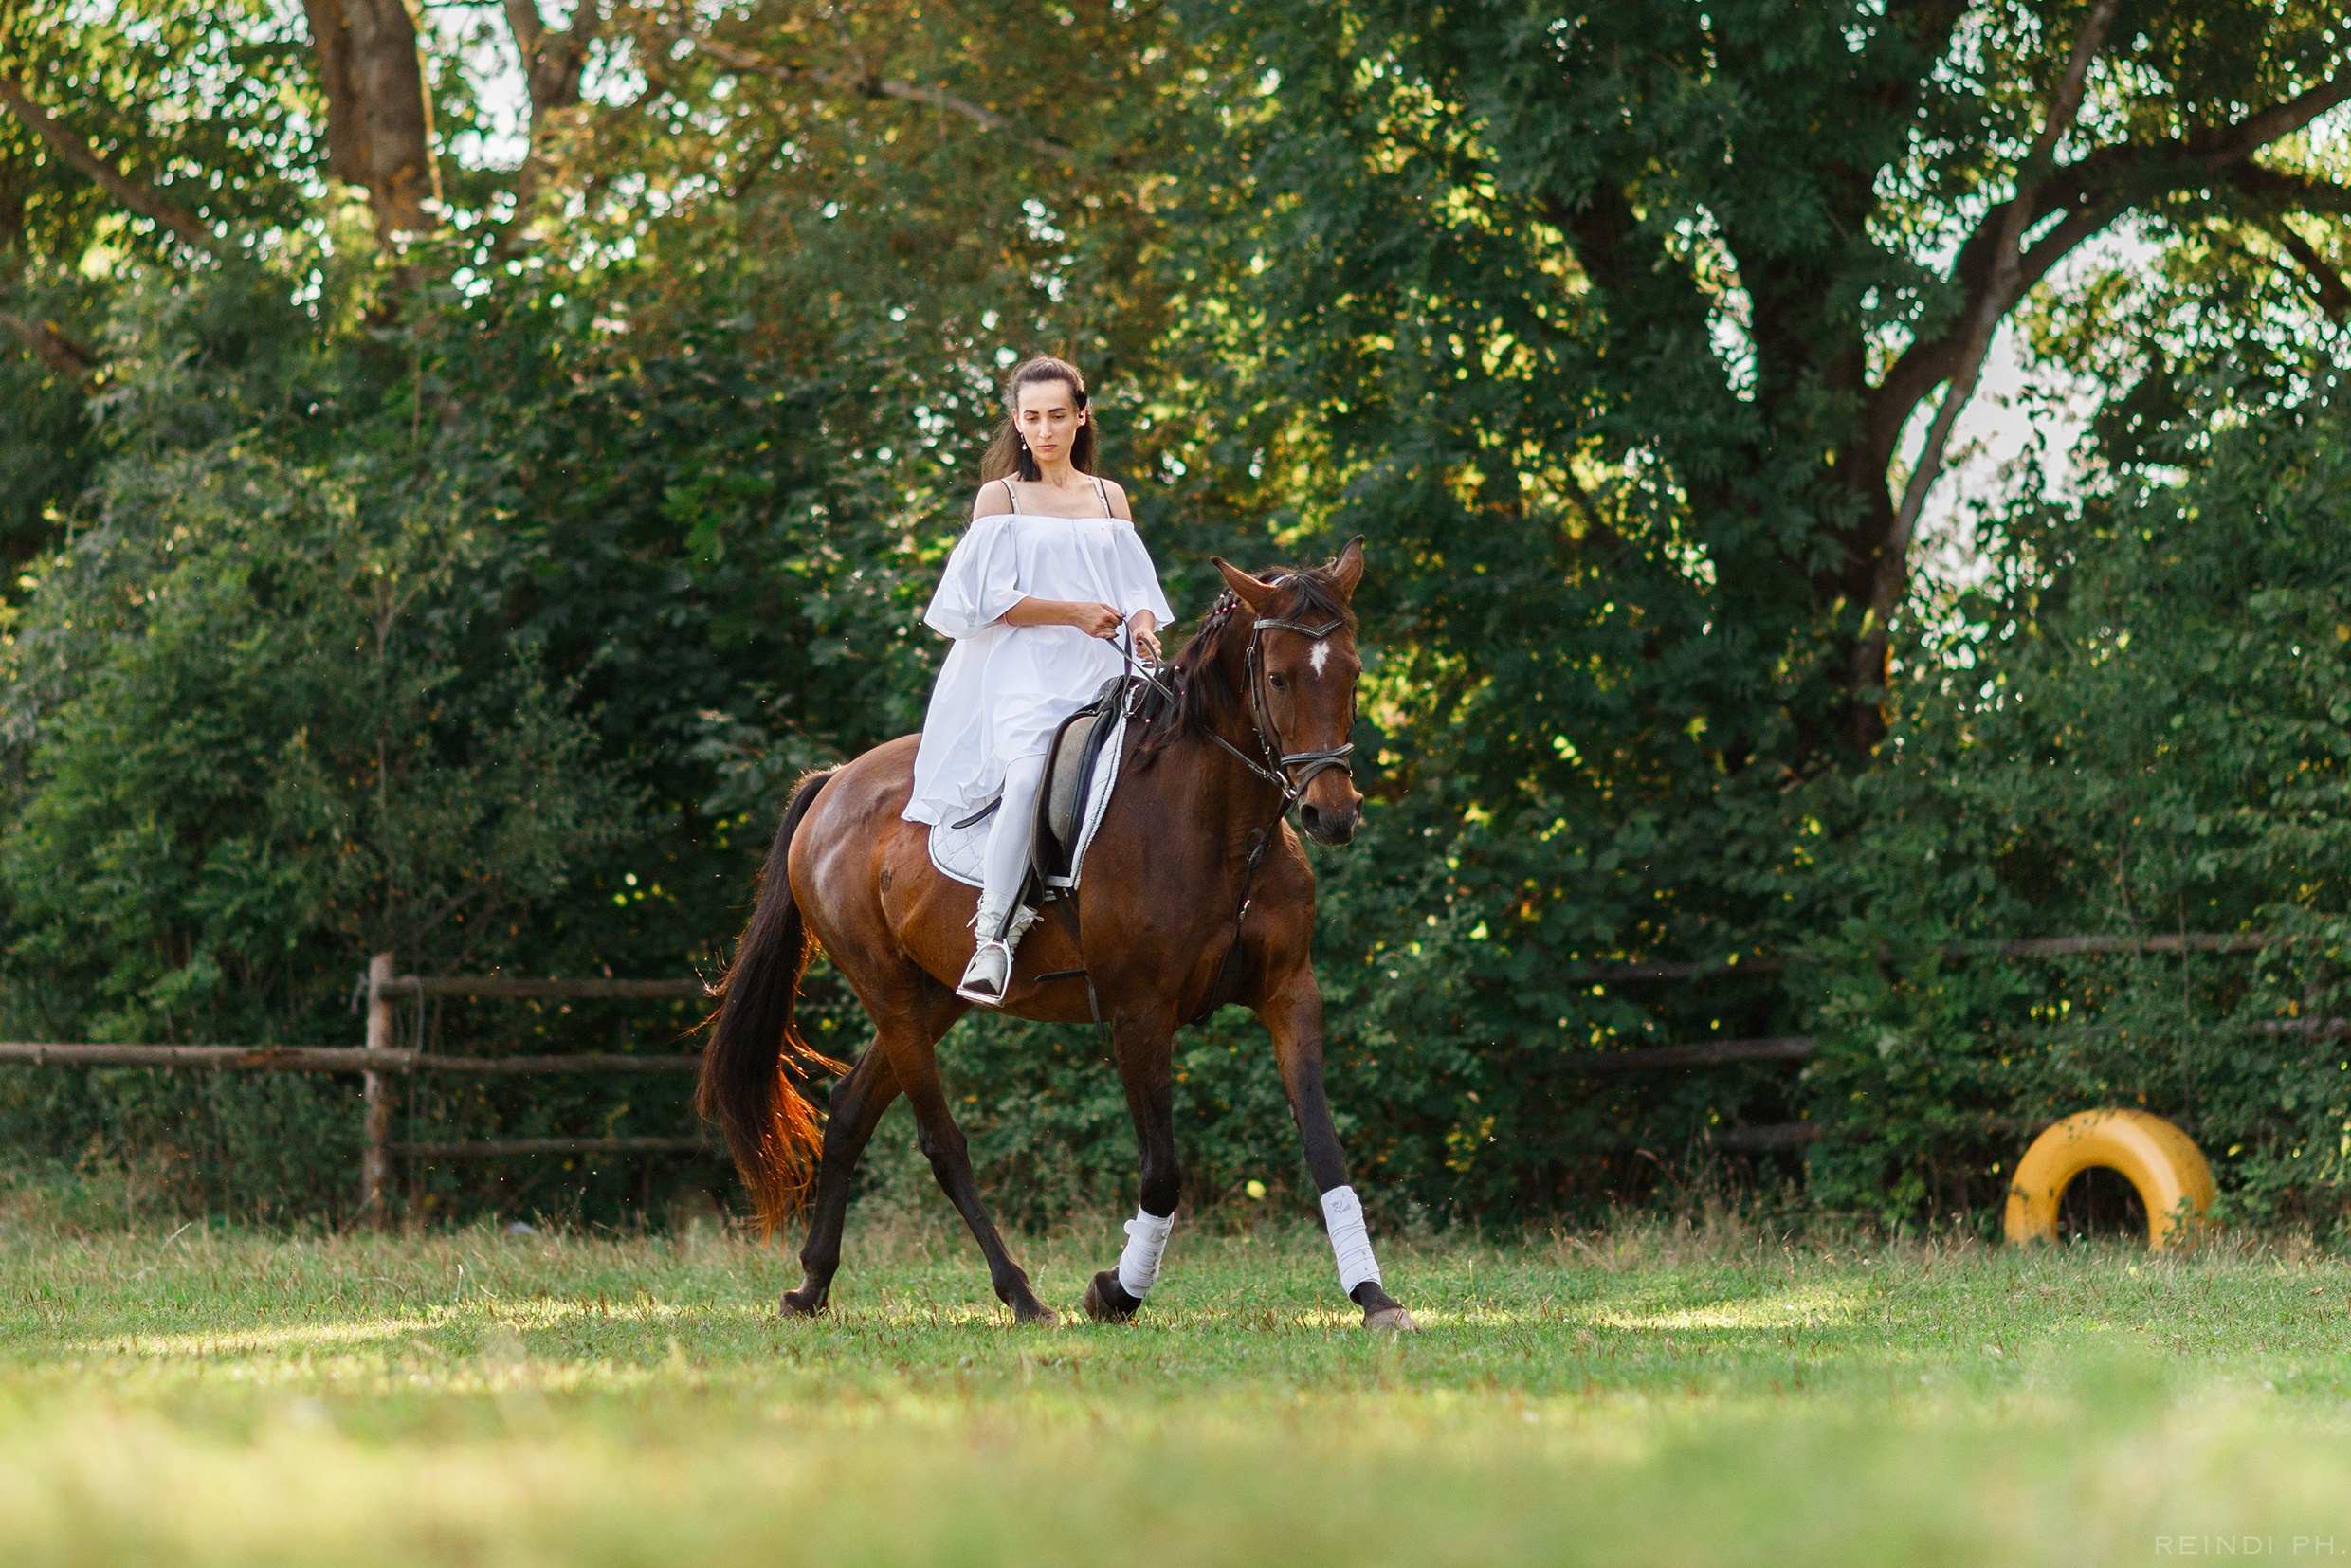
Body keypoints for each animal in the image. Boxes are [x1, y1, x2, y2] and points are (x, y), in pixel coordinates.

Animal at [698, 536, 1415, 1330]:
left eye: (1353, 673)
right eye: (1281, 678)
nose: (1332, 814)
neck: (1225, 828)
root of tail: (835, 783)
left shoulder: (1289, 994)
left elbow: (1325, 1149)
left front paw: (1373, 1296)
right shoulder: (1139, 1011)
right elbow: (1161, 1173)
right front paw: (1116, 1291)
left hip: (934, 994)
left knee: (852, 1110)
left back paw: (813, 1284)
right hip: (886, 990)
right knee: (941, 1142)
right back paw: (1018, 1293)